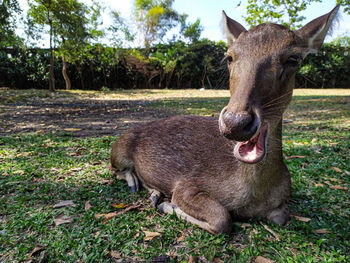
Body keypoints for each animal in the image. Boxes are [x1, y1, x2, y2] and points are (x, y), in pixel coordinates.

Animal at [110, 6, 340, 236]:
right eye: (229, 57)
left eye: (293, 58)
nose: (235, 123)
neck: (254, 196)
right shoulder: (186, 184)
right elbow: (222, 218)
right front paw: (168, 204)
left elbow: (281, 217)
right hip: (119, 149)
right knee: (117, 170)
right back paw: (141, 186)